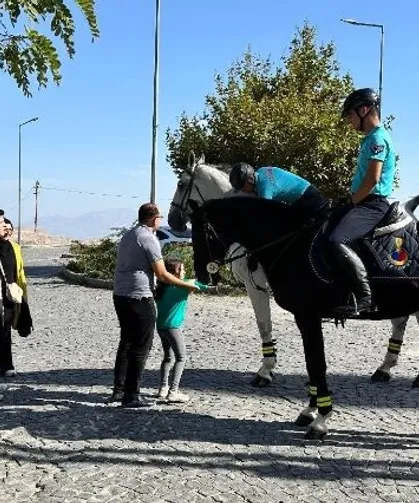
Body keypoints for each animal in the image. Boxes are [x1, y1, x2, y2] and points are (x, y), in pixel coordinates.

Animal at [192, 195, 419, 440]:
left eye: (202, 232)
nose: (202, 275)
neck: (291, 244)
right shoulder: (305, 318)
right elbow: (312, 365)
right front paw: (310, 410)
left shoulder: (308, 316)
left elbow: (316, 364)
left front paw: (320, 420)